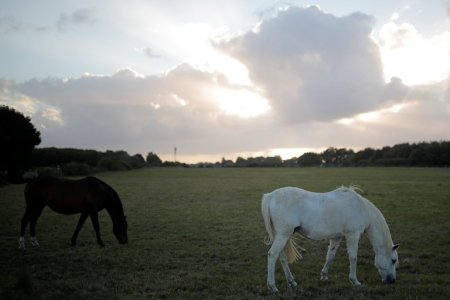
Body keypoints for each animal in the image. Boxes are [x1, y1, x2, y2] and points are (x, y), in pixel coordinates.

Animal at [262, 185, 400, 292]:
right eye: (393, 260)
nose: (392, 281)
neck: (361, 208)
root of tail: (270, 196)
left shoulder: (336, 237)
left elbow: (330, 256)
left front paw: (324, 276)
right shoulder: (353, 234)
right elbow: (353, 257)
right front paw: (355, 281)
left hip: (282, 235)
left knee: (282, 257)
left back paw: (292, 282)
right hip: (283, 235)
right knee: (272, 254)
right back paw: (272, 286)